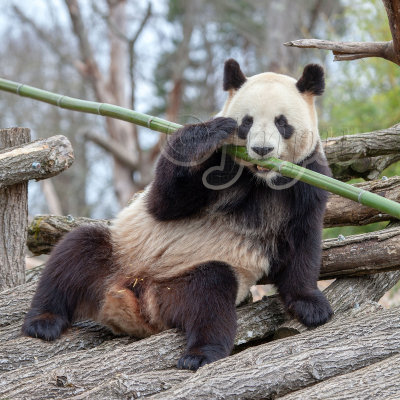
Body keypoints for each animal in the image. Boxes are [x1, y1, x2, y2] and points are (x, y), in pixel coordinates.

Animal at [22, 59, 334, 372]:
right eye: (247, 122)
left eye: (282, 123)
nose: (261, 150)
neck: (260, 179)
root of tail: (133, 297)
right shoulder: (218, 165)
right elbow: (166, 201)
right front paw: (210, 132)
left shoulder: (308, 180)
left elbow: (302, 242)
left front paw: (312, 307)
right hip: (119, 254)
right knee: (75, 254)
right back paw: (43, 321)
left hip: (176, 287)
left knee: (209, 294)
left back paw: (200, 352)